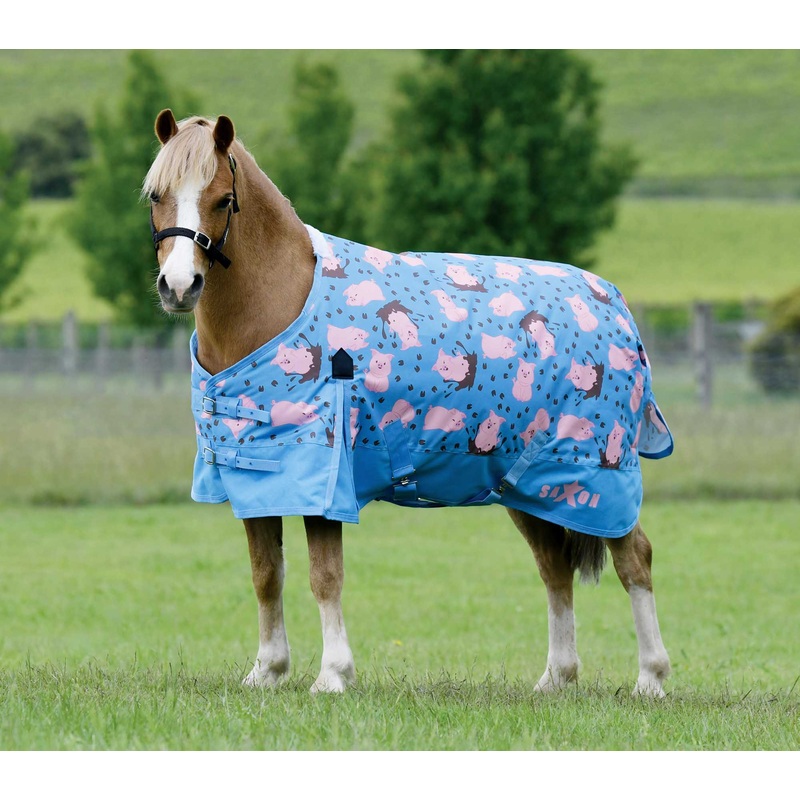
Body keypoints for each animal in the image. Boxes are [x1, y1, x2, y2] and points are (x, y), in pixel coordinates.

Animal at [143, 109, 673, 697]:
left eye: (221, 200)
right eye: (156, 195)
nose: (179, 286)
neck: (278, 304)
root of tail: (614, 304)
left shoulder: (326, 479)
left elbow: (324, 576)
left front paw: (332, 675)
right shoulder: (255, 475)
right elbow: (266, 575)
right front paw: (267, 671)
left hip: (596, 476)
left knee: (634, 558)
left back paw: (650, 678)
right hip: (527, 483)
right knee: (554, 568)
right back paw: (556, 678)